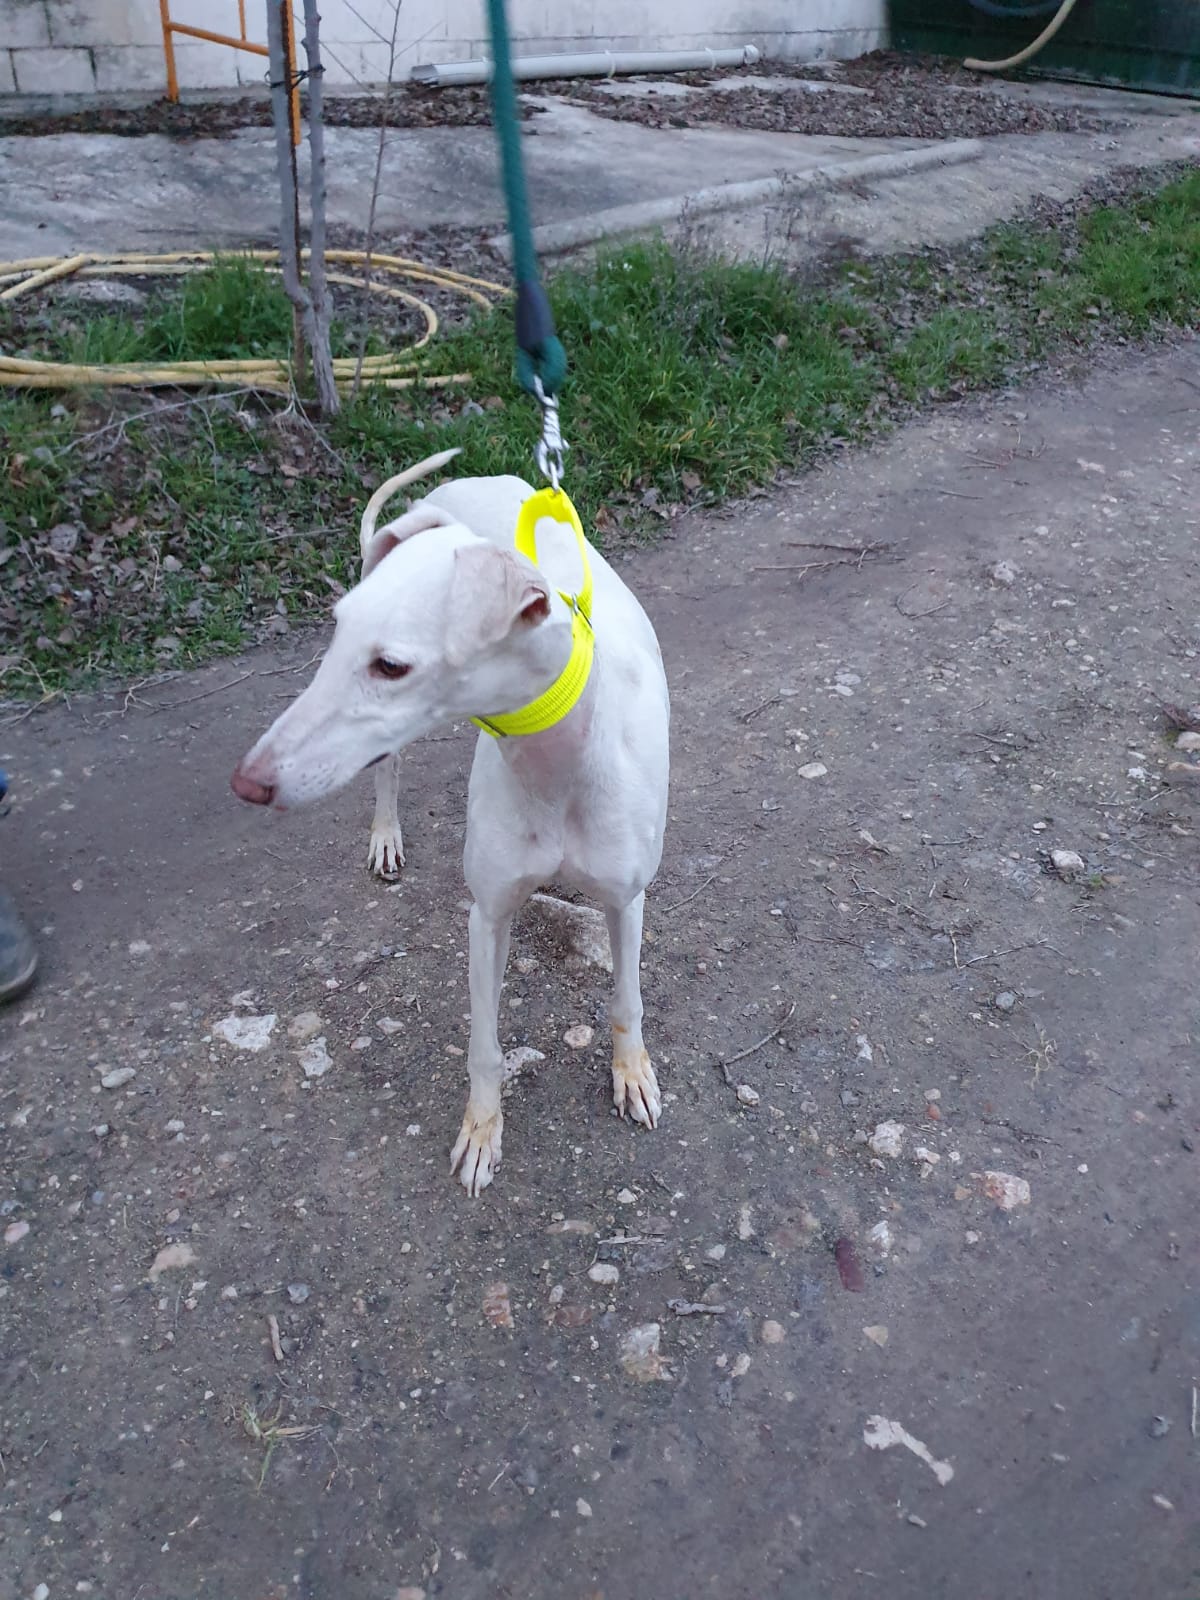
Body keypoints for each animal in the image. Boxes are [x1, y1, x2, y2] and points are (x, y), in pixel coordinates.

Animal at [231, 452, 670, 1194]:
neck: (559, 759)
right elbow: (485, 1045)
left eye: (391, 665)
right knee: (387, 772)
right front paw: (482, 1130)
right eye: (336, 630)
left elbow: (626, 1001)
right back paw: (385, 835)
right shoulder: (487, 915)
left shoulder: (626, 898)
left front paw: (631, 1073)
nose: (248, 783)